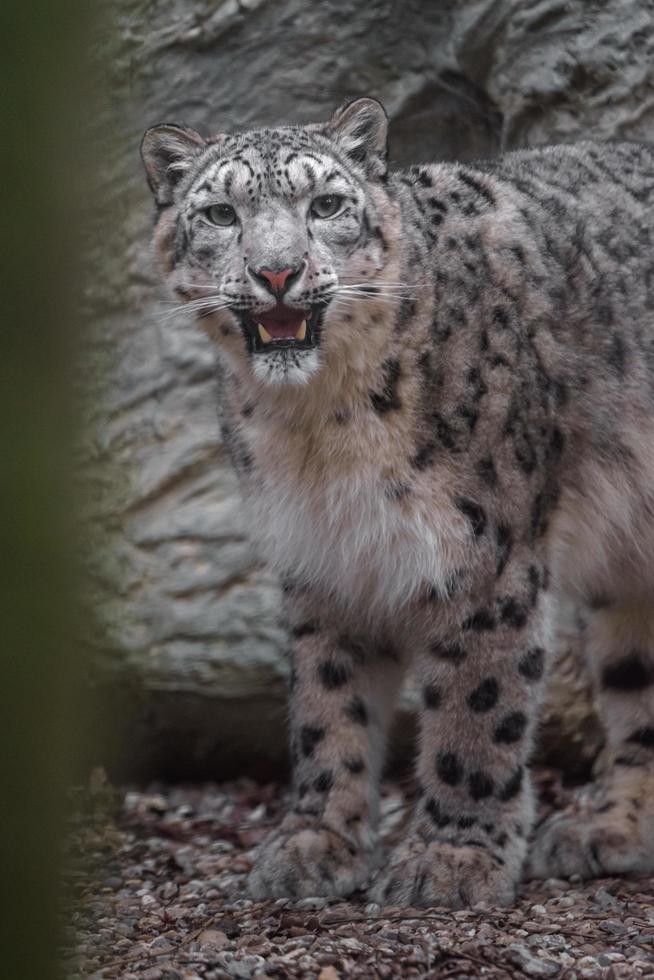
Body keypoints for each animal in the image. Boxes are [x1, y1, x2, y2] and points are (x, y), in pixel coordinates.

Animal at [142, 95, 654, 908]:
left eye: (326, 204)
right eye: (221, 212)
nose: (277, 271)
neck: (317, 429)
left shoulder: (484, 553)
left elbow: (478, 703)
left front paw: (450, 859)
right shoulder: (321, 556)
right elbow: (327, 703)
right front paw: (315, 843)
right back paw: (610, 828)